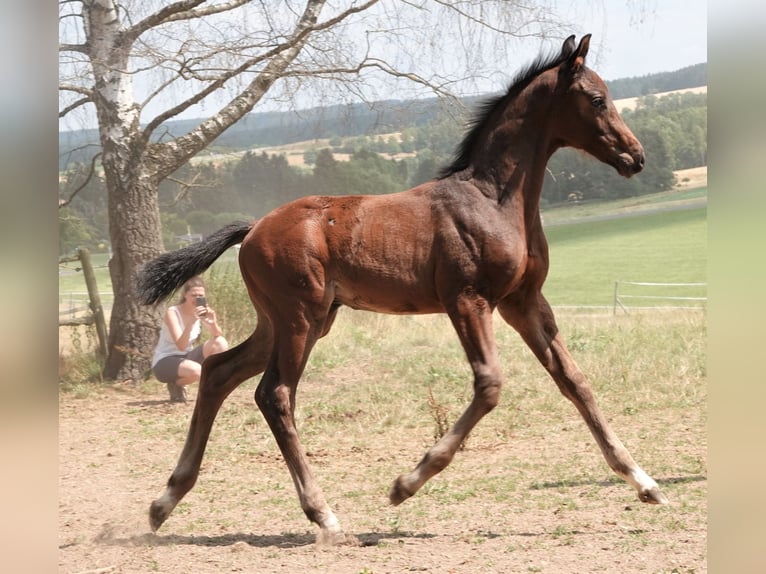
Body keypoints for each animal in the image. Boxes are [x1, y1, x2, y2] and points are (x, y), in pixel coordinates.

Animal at [141, 33, 668, 548]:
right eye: (597, 99)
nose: (636, 156)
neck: (493, 200)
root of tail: (251, 230)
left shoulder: (524, 302)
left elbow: (574, 381)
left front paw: (644, 482)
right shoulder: (468, 300)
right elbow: (490, 384)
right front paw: (405, 484)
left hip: (294, 321)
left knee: (218, 372)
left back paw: (164, 502)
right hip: (298, 319)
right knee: (275, 394)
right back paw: (324, 516)